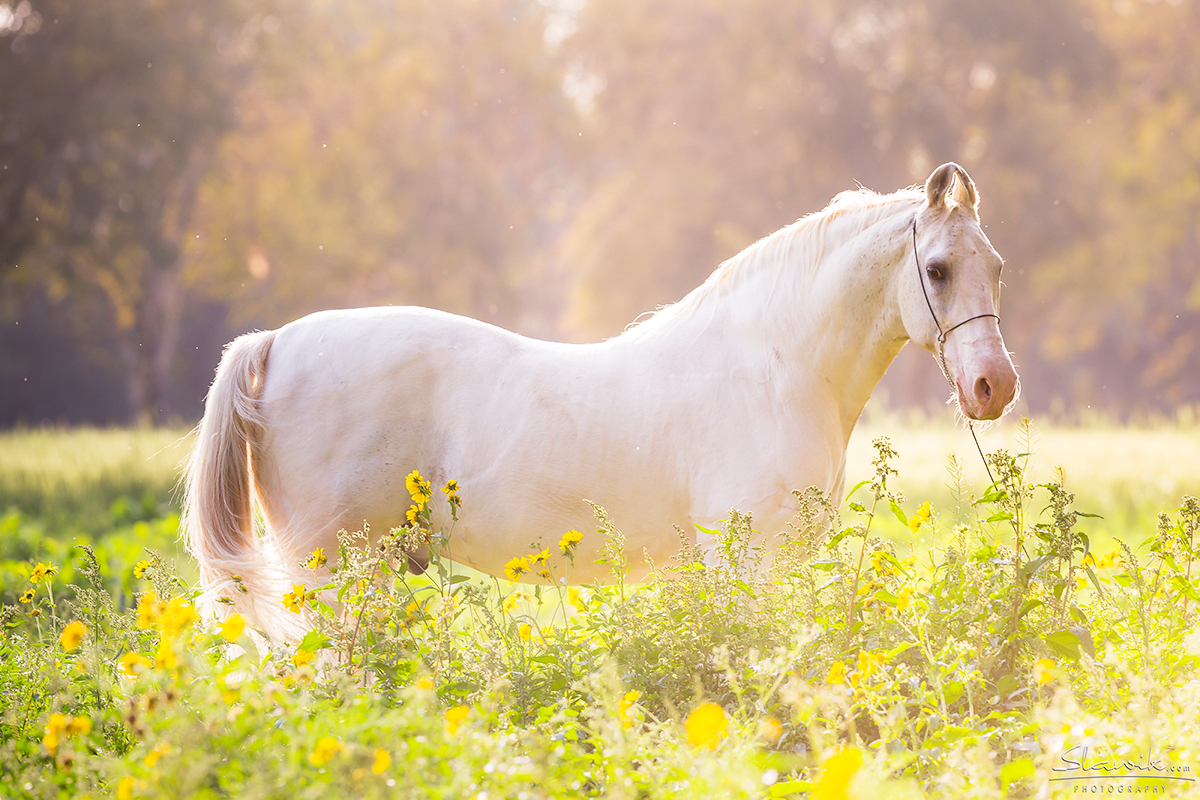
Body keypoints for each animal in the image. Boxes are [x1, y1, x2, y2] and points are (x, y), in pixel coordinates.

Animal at [182, 160, 1017, 638]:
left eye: (998, 267)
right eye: (937, 269)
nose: (994, 386)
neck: (779, 362)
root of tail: (276, 343)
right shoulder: (745, 563)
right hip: (334, 573)